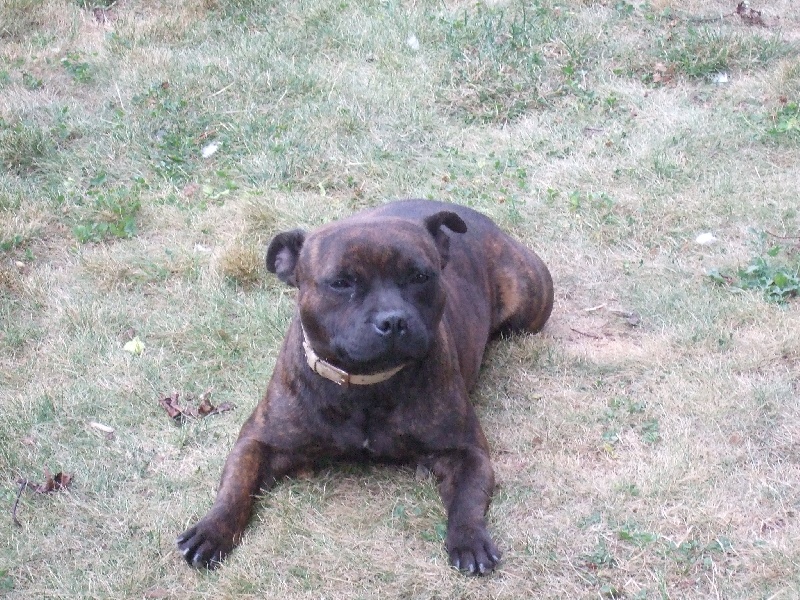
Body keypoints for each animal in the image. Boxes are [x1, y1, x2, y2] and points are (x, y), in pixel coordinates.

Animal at [177, 199, 553, 575]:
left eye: (420, 277)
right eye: (341, 283)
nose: (393, 320)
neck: (366, 385)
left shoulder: (467, 451)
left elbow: (467, 499)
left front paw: (470, 540)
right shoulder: (259, 440)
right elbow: (237, 484)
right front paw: (212, 529)